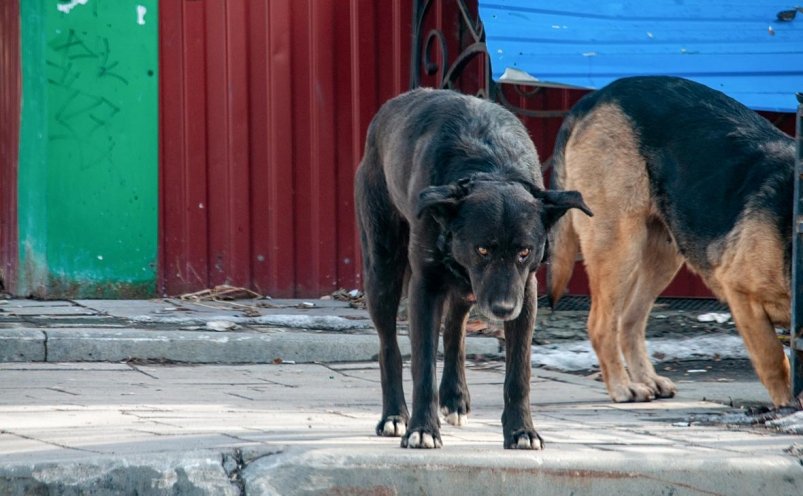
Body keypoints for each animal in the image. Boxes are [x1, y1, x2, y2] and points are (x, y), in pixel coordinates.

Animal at [354, 89, 592, 450]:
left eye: (524, 252)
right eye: (483, 249)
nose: (503, 309)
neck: (491, 167)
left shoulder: (525, 292)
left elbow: (519, 373)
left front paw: (522, 431)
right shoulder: (425, 287)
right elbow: (423, 366)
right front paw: (422, 429)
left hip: (467, 289)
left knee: (454, 329)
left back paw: (454, 397)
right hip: (383, 268)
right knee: (389, 348)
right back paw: (395, 415)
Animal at [548, 74, 796, 406]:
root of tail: (597, 96)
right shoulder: (741, 293)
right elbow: (774, 359)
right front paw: (789, 406)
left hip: (663, 254)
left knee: (629, 322)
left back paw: (646, 379)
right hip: (620, 244)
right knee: (602, 325)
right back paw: (622, 387)